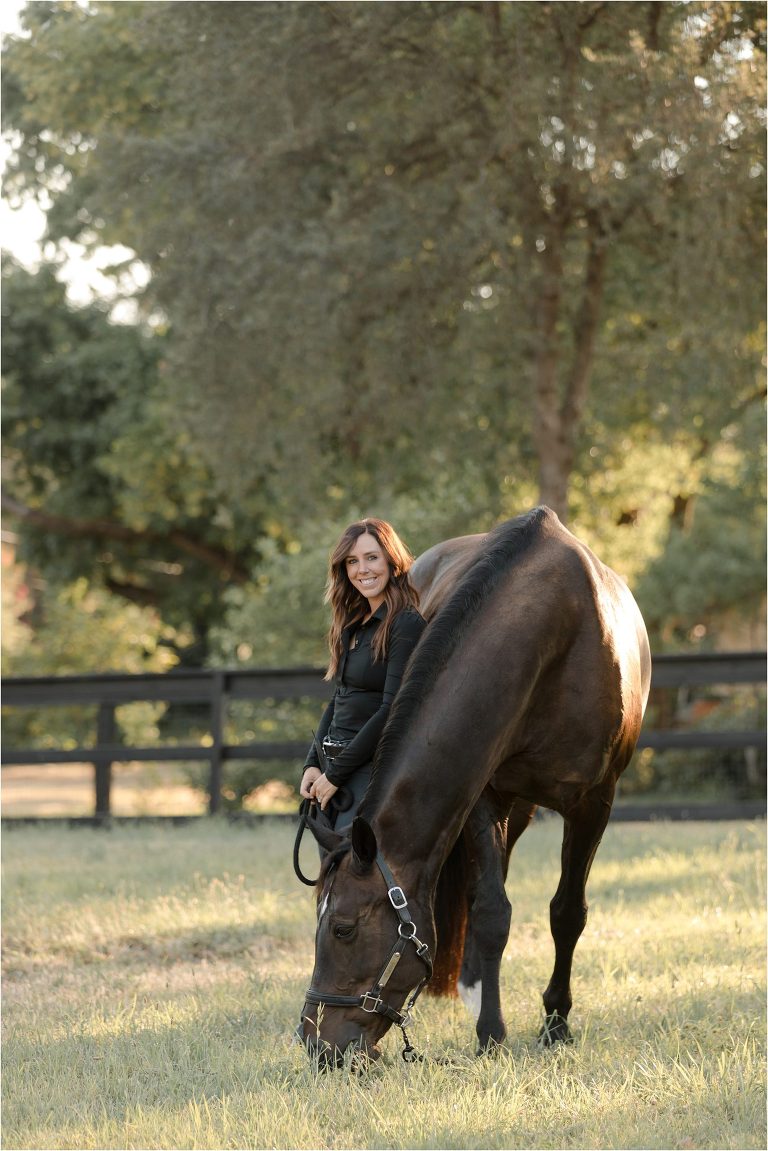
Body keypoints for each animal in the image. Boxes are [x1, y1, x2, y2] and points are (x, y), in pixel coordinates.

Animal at [298, 506, 651, 1067]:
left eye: (343, 928)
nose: (315, 1043)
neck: (557, 632)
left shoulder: (594, 803)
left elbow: (567, 912)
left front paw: (555, 1024)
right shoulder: (484, 795)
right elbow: (490, 911)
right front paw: (492, 1031)